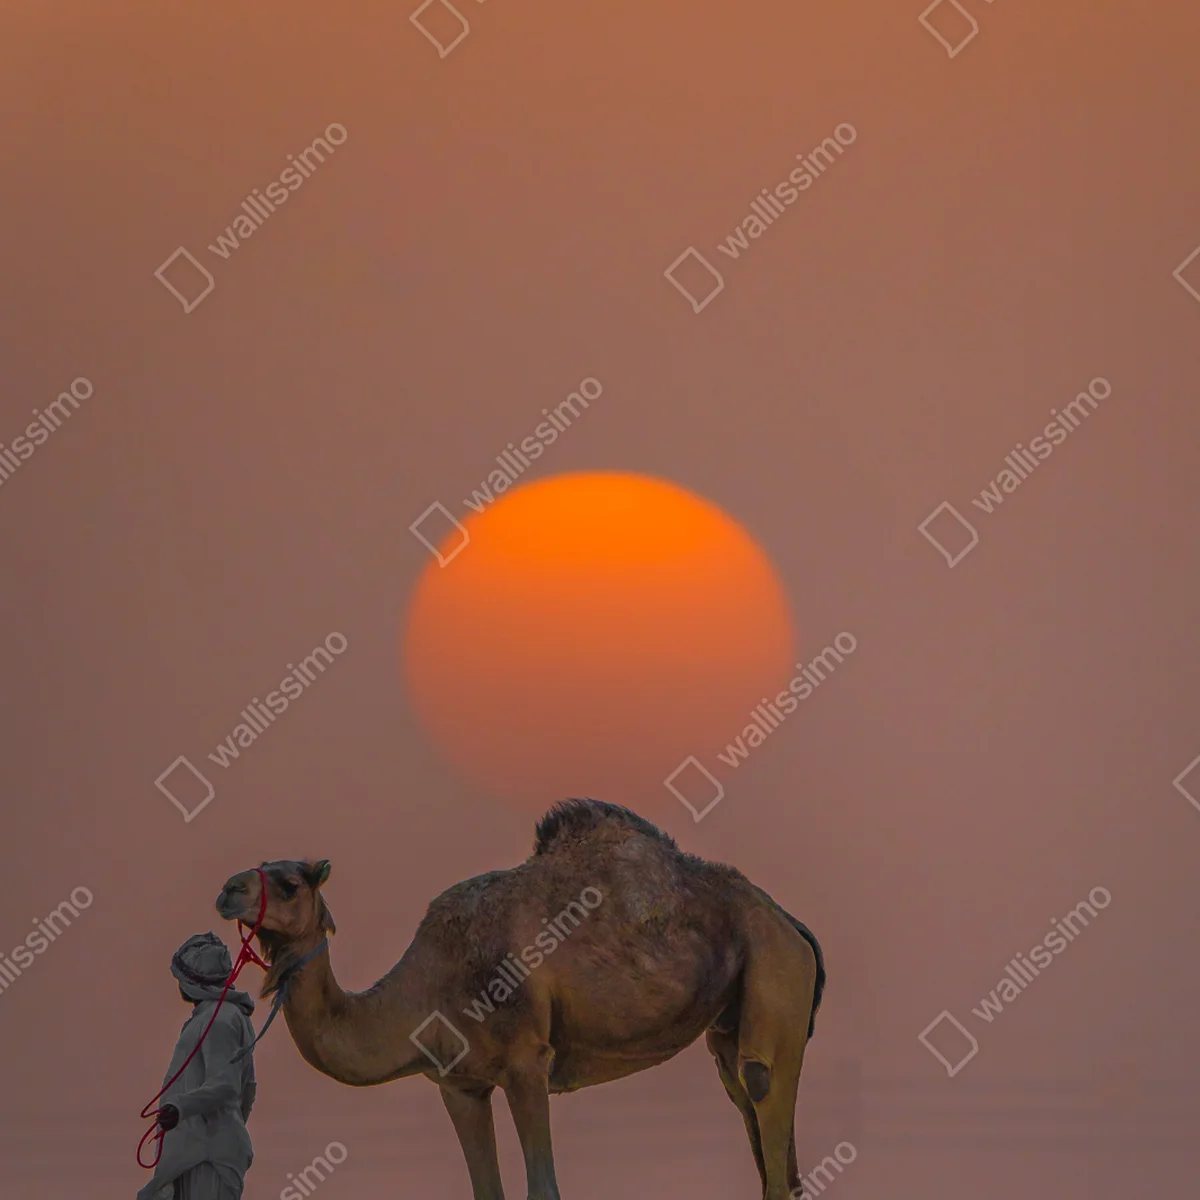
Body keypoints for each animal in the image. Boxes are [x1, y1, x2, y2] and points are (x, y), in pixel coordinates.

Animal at [214, 799, 825, 1200]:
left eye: (290, 882)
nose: (227, 890)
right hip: (730, 1020)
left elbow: (543, 1187)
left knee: (762, 1090)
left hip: (776, 970)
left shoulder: (527, 1061)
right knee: (754, 1115)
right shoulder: (458, 1084)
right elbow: (487, 1191)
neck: (426, 985)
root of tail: (793, 924)